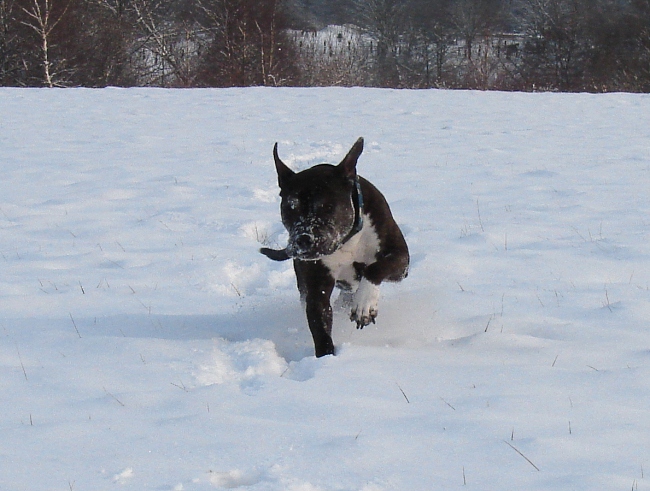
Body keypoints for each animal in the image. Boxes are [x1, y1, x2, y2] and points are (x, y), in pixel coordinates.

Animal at [260, 138, 408, 358]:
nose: (303, 239)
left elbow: (375, 268)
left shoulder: (400, 260)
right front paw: (326, 358)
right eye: (290, 207)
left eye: (327, 206)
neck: (346, 242)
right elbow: (319, 322)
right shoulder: (316, 287)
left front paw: (365, 304)